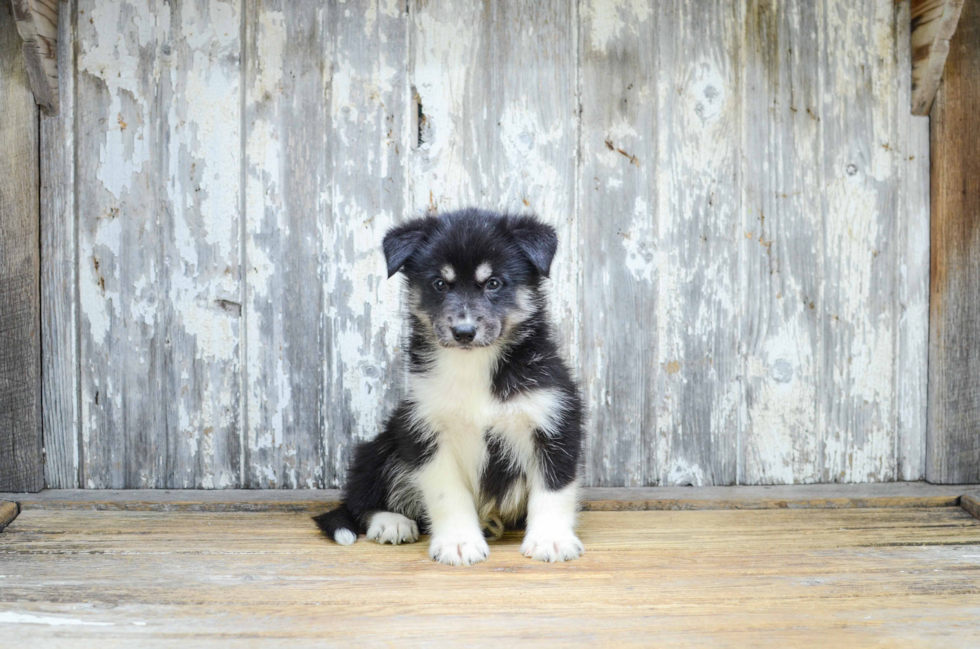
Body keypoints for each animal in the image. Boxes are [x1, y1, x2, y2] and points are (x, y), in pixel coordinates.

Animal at [314, 208, 580, 560]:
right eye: (440, 284)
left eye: (494, 283)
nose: (464, 332)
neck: (473, 365)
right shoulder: (426, 432)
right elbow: (448, 495)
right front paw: (459, 542)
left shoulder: (554, 423)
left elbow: (554, 490)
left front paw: (551, 539)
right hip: (381, 445)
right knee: (359, 502)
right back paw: (391, 522)